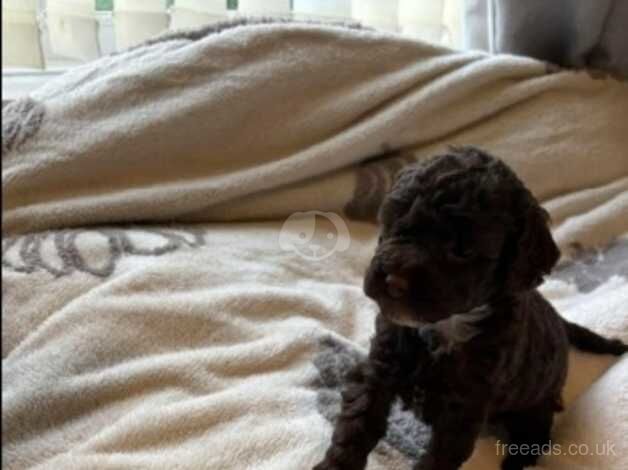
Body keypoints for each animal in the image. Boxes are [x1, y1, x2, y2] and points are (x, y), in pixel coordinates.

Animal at [316, 147, 624, 470]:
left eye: (462, 250)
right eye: (396, 220)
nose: (393, 281)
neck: (444, 326)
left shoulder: (464, 408)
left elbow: (438, 458)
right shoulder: (380, 367)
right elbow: (356, 424)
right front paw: (335, 464)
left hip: (536, 403)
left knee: (536, 437)